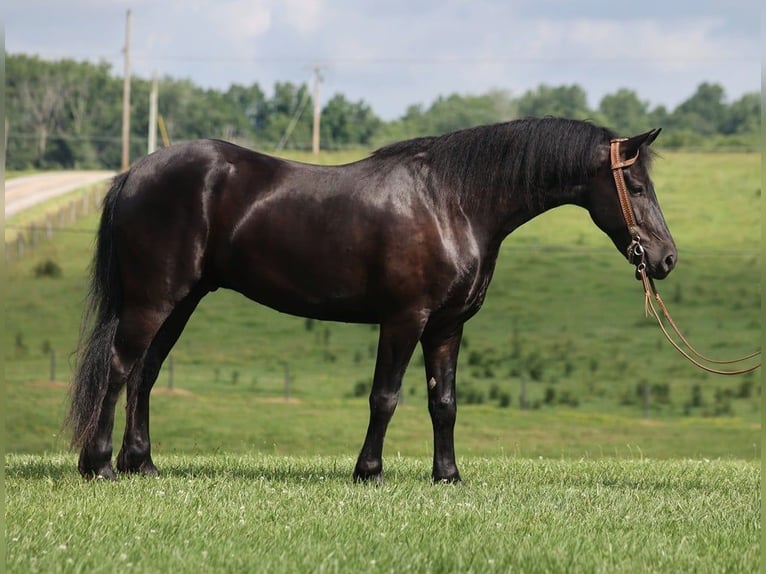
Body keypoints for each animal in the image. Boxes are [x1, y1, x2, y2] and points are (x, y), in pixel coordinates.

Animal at [67, 117, 677, 482]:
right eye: (637, 188)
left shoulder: (447, 326)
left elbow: (444, 402)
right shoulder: (404, 320)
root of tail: (134, 173)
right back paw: (99, 466)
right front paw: (369, 471)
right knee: (120, 367)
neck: (452, 203)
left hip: (182, 301)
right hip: (154, 299)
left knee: (144, 374)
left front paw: (447, 476)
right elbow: (385, 397)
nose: (666, 258)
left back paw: (141, 463)